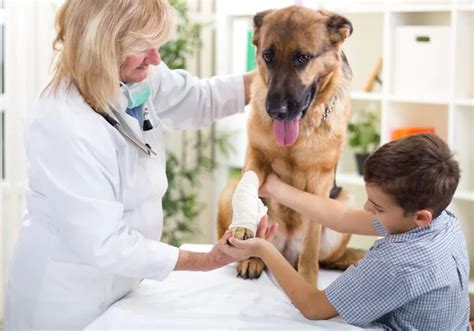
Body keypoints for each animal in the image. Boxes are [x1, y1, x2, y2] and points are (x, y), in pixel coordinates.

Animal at [218, 5, 362, 286]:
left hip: (345, 203)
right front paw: (243, 229)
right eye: (268, 56)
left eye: (302, 58)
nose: (276, 111)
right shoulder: (255, 157)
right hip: (227, 191)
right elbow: (249, 191)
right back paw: (252, 258)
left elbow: (311, 244)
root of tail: (284, 253)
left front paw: (306, 281)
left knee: (326, 258)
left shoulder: (320, 183)